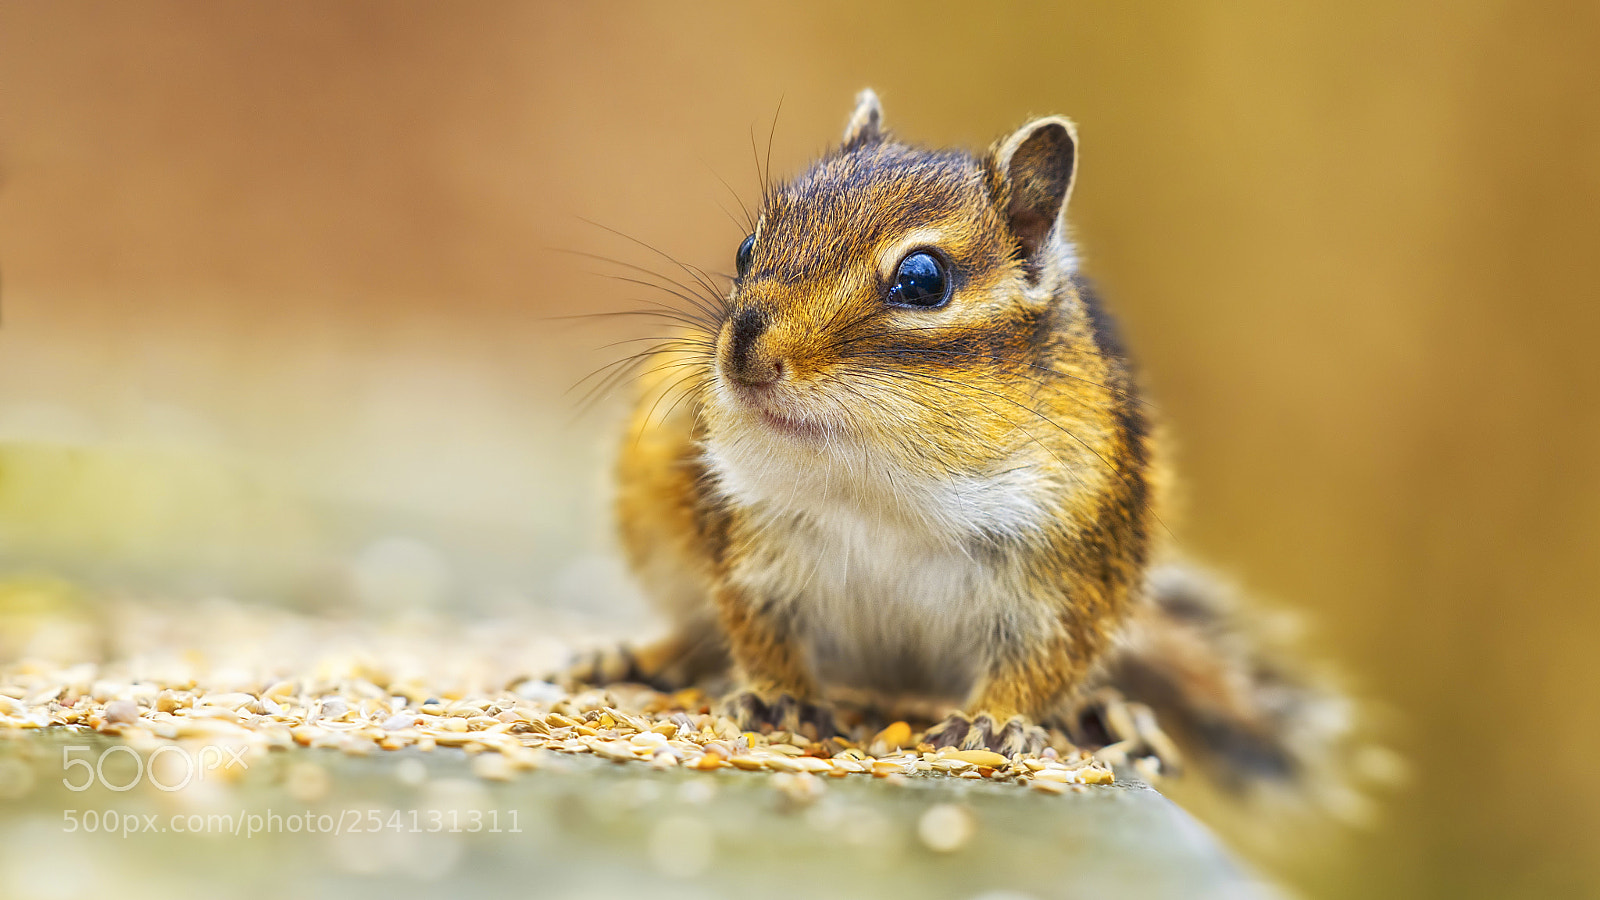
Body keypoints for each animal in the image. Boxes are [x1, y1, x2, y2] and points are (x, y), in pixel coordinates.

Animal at [569, 90, 1356, 796]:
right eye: (746, 248)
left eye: (922, 279)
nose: (740, 354)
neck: (879, 477)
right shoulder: (751, 544)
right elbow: (753, 625)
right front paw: (775, 696)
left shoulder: (1070, 570)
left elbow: (1043, 661)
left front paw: (995, 723)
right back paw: (638, 658)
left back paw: (1106, 711)